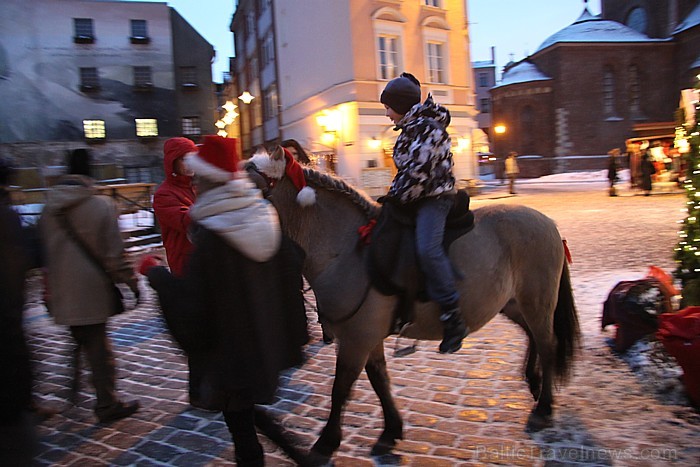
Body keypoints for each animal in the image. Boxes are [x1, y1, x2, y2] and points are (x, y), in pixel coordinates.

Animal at [249, 148, 576, 462]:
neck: (345, 252)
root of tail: (548, 223)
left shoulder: (357, 338)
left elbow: (341, 387)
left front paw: (327, 442)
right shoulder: (368, 337)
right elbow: (379, 379)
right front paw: (390, 430)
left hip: (537, 300)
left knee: (548, 344)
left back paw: (543, 408)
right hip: (513, 303)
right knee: (533, 336)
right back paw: (533, 383)